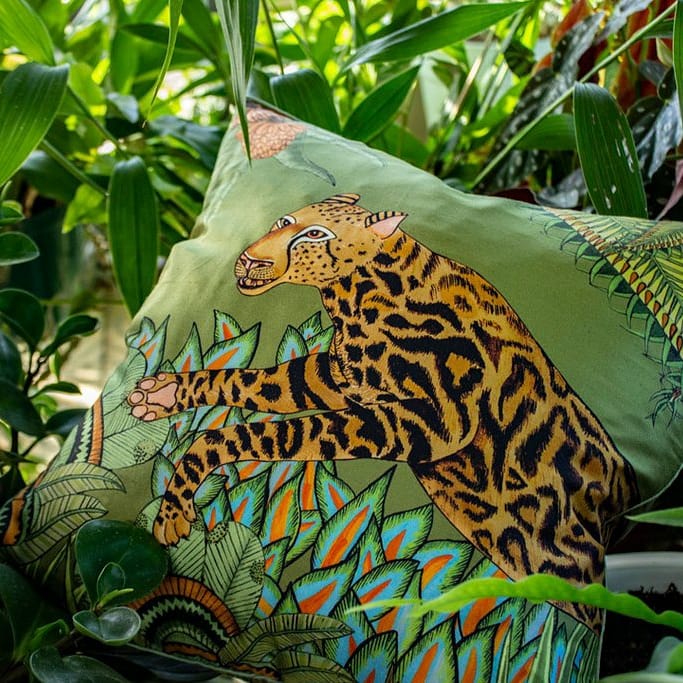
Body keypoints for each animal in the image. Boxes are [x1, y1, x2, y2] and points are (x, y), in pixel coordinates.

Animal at [128, 193, 638, 630]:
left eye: (315, 235)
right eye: (282, 221)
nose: (250, 259)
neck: (355, 298)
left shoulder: (425, 423)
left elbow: (262, 435)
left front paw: (175, 504)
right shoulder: (335, 377)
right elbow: (246, 381)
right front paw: (166, 394)